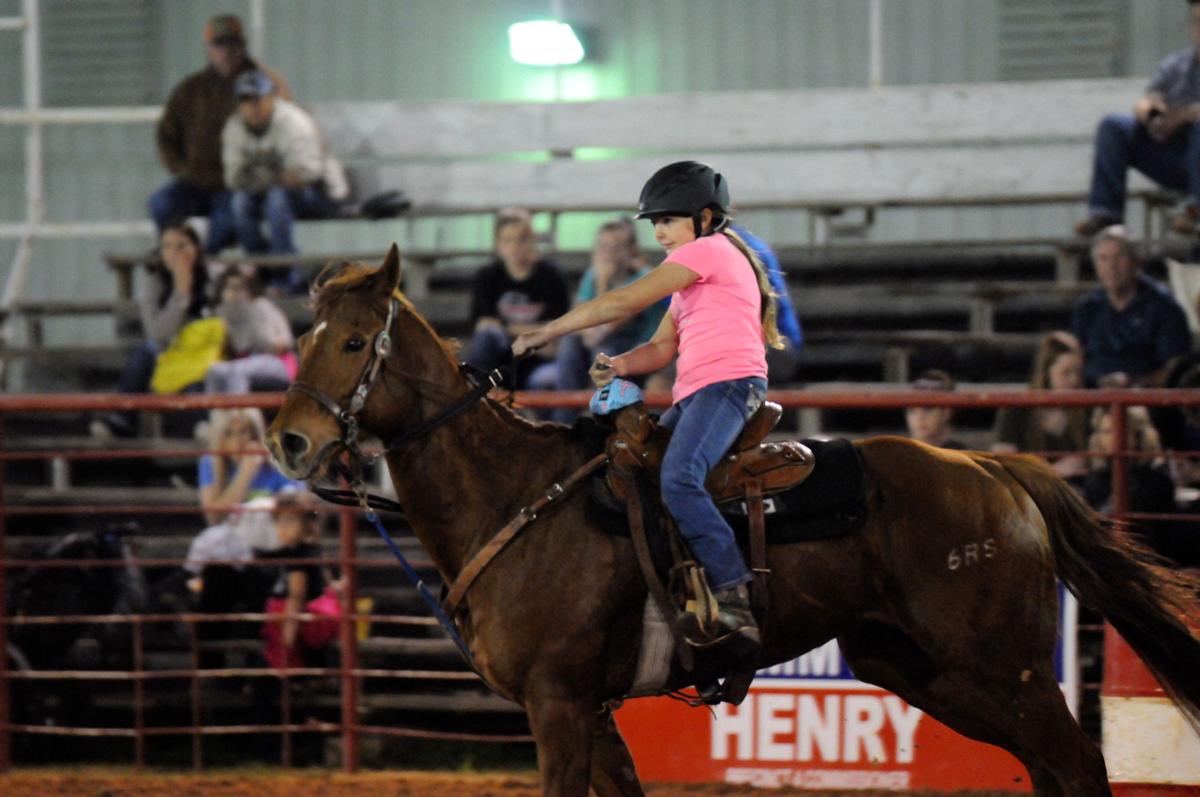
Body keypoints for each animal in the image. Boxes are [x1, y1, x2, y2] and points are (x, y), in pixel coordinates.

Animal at [267, 244, 1200, 797]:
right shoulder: (591, 707)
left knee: (1076, 760)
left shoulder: (557, 700)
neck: (515, 494)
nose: (287, 439)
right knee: (1046, 764)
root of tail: (991, 469)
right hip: (923, 668)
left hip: (1007, 665)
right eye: (305, 337)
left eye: (354, 343)